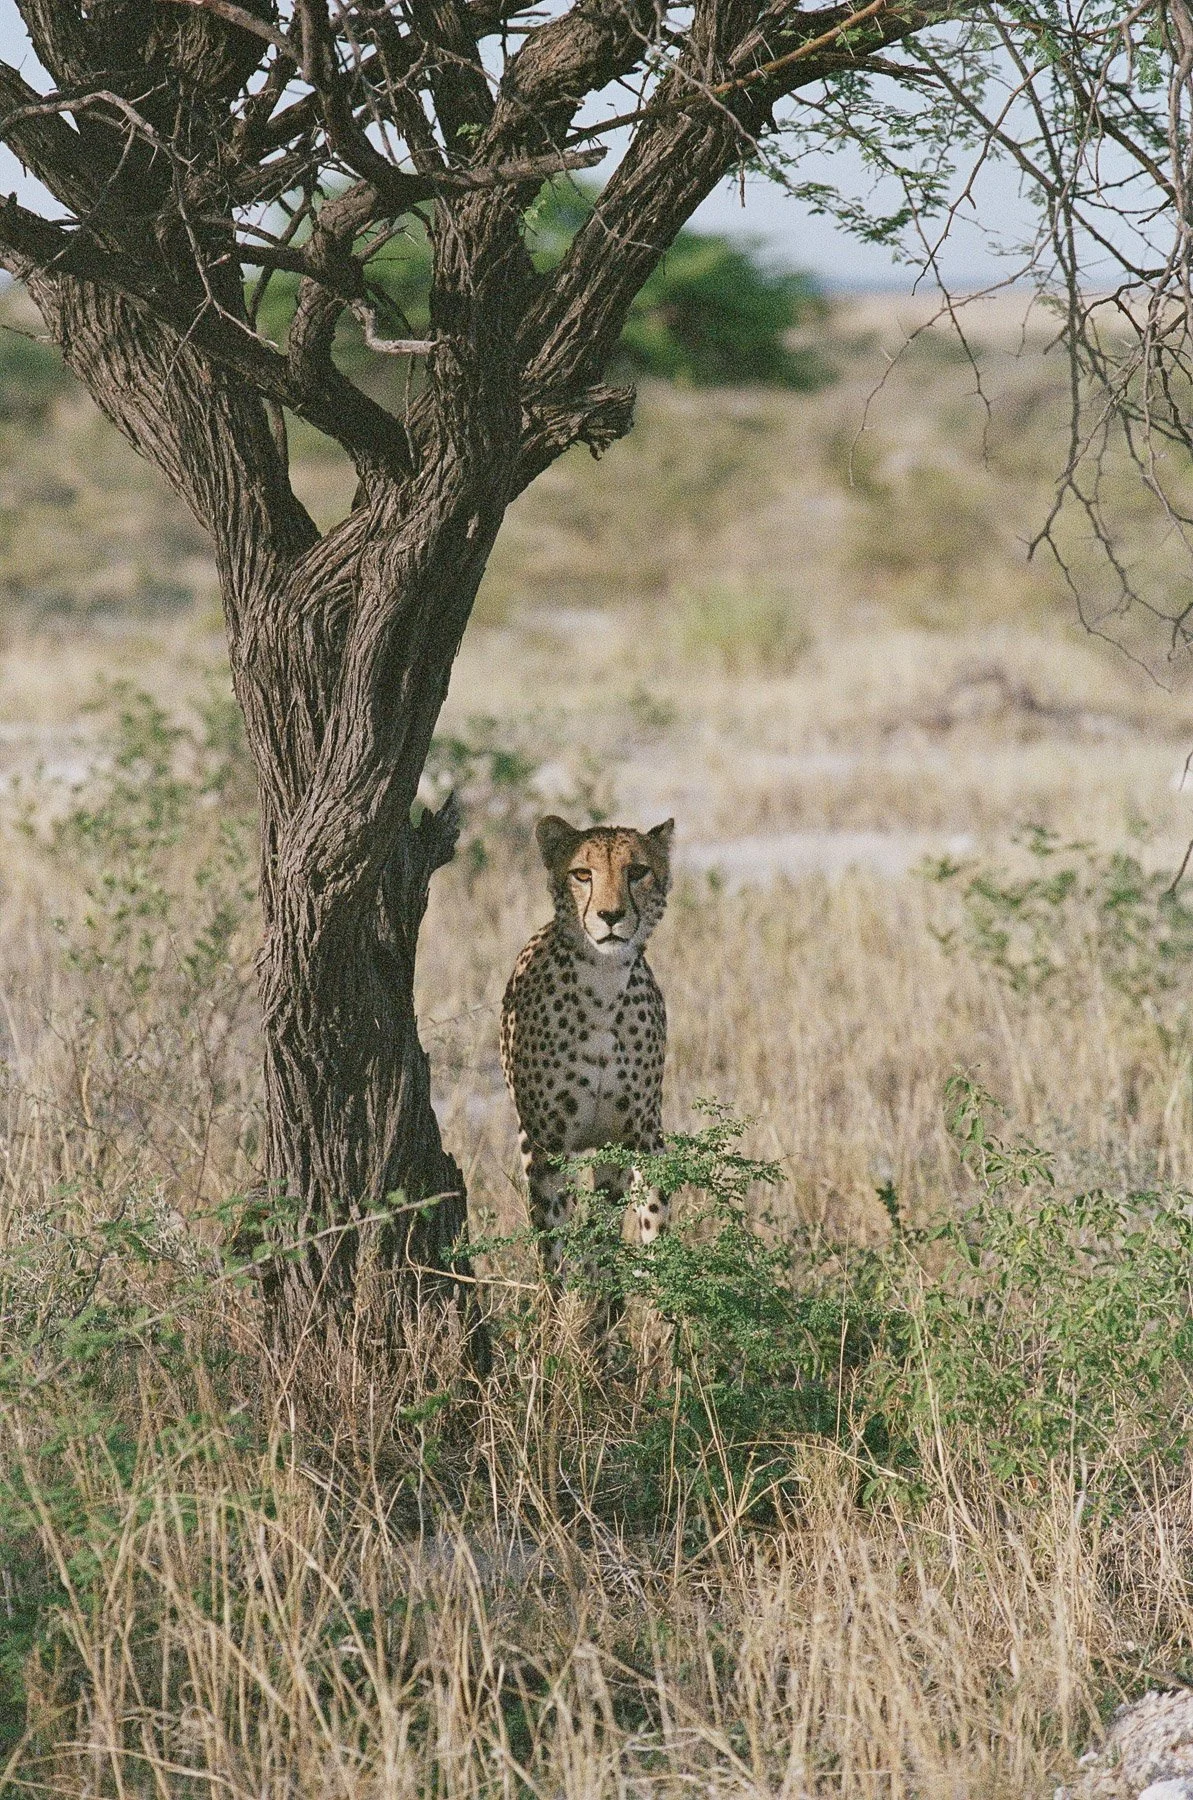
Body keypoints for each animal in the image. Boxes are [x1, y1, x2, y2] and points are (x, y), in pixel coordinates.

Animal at [500, 814, 674, 1283]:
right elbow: (553, 1238)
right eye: (582, 874)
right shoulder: (546, 1144)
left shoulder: (640, 1135)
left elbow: (651, 1217)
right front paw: (559, 1301)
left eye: (637, 871)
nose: (610, 915)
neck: (603, 983)